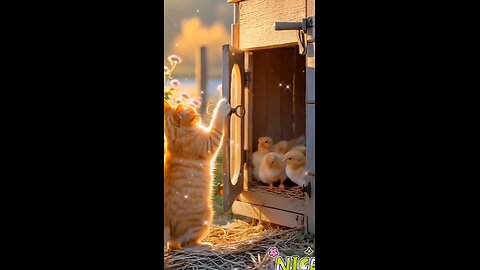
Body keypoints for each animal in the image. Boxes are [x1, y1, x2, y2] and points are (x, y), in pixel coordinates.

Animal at [164, 98, 232, 250]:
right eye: (194, 114)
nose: (199, 115)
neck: (175, 137)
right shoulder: (210, 142)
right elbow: (216, 123)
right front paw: (221, 106)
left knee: (174, 245)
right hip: (206, 216)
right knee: (185, 243)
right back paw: (204, 245)